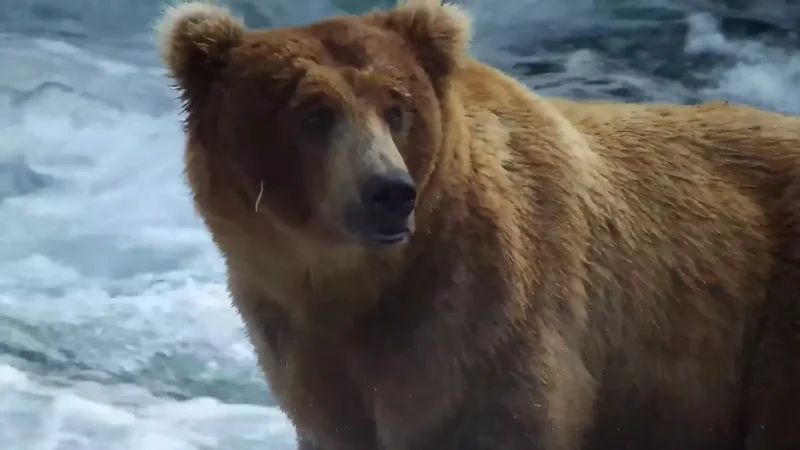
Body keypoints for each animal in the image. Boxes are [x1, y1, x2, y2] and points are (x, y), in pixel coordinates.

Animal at [156, 0, 800, 449]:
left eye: (397, 107)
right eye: (313, 114)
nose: (389, 193)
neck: (357, 289)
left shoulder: (487, 327)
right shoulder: (308, 361)